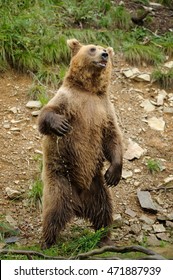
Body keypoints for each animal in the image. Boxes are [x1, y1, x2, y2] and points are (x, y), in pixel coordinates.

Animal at [37, 38, 123, 248]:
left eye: (104, 49)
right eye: (92, 48)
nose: (104, 55)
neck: (89, 90)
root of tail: (79, 205)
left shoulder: (104, 109)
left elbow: (113, 138)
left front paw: (114, 173)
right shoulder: (68, 100)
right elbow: (46, 114)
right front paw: (61, 125)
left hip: (96, 185)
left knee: (104, 211)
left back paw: (104, 238)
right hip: (60, 182)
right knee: (53, 213)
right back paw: (47, 243)